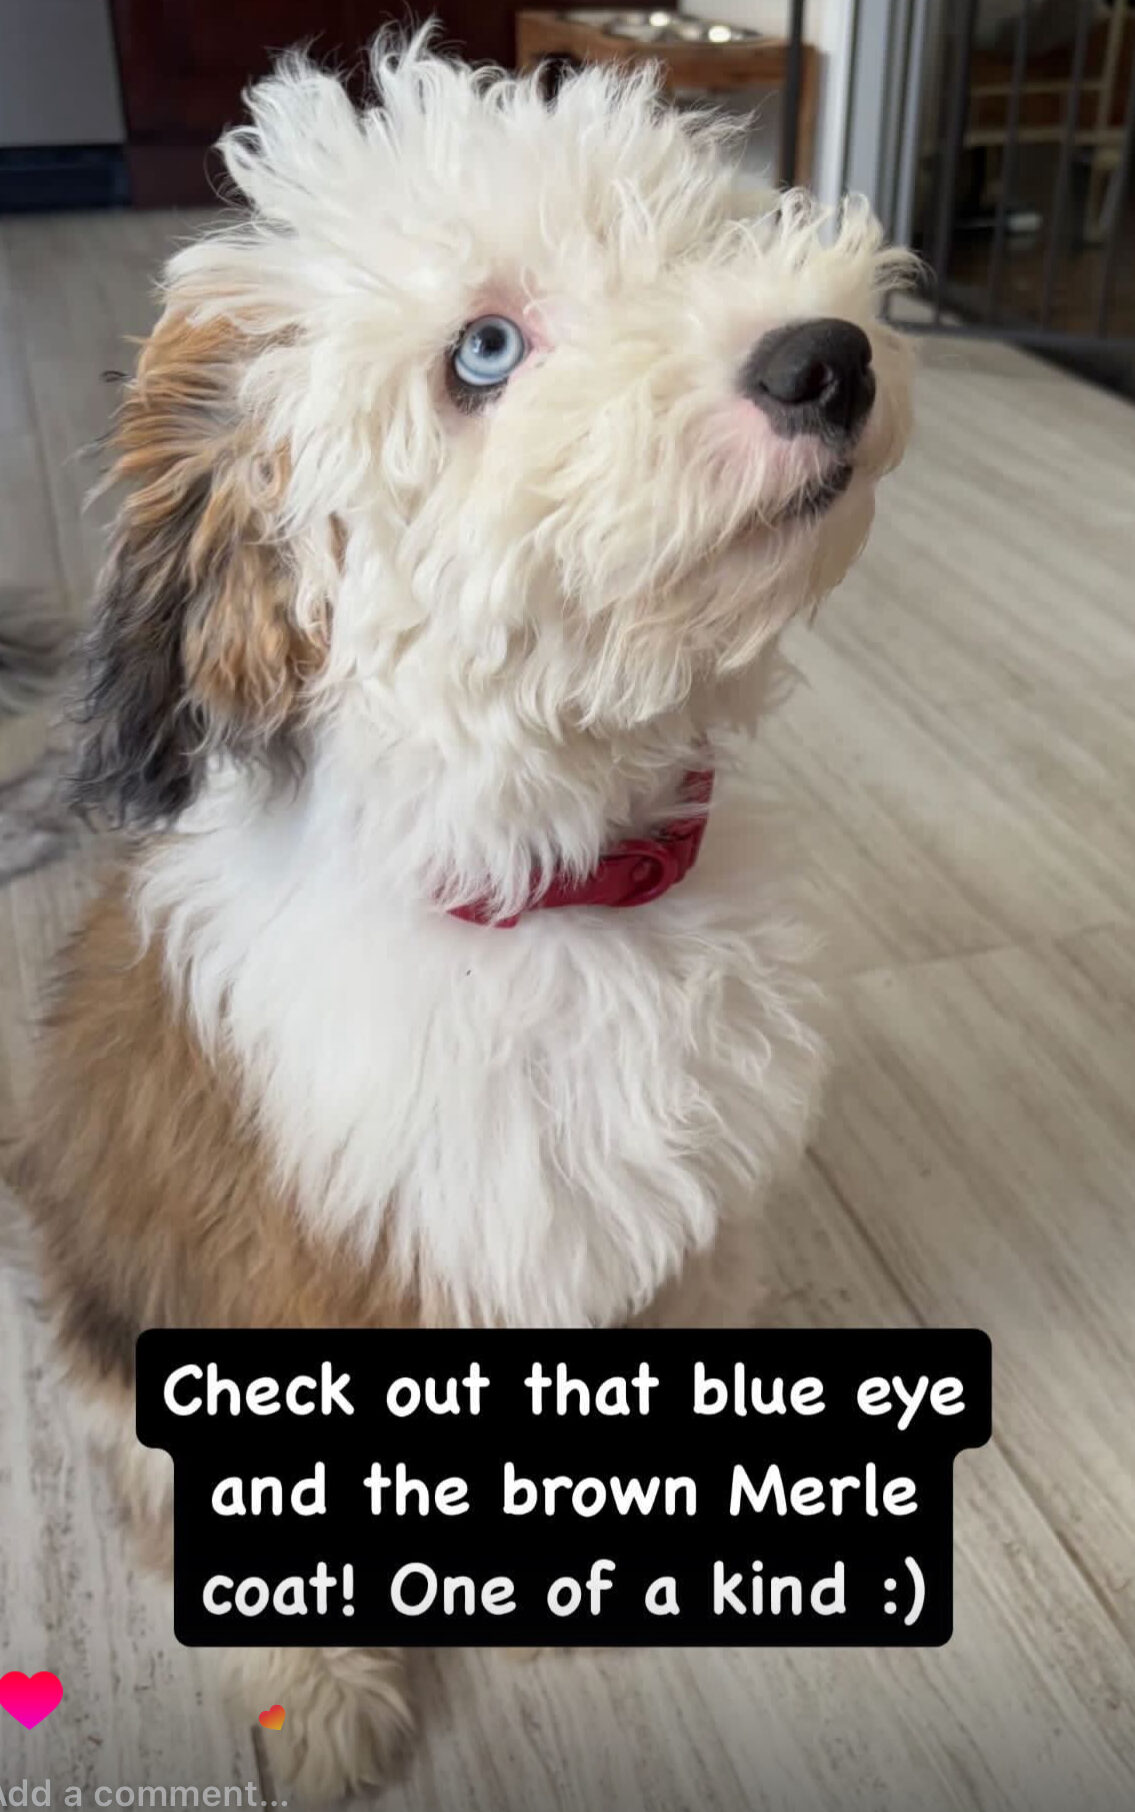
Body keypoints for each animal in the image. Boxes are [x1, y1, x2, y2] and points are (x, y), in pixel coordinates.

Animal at [19, 28, 910, 1797]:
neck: (551, 892)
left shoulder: (680, 1244)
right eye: (482, 352)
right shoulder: (290, 1270)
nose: (823, 356)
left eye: (694, 230)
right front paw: (327, 1683)